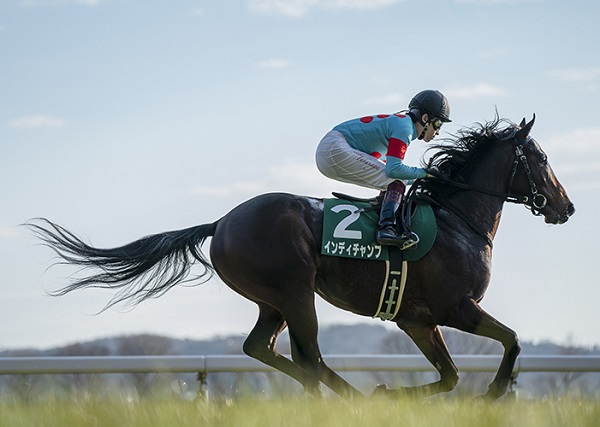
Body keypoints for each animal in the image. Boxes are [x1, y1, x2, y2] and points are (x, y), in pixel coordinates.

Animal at [29, 116, 576, 402]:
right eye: (542, 158)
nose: (567, 207)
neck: (458, 220)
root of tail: (221, 222)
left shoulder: (417, 319)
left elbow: (450, 375)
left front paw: (395, 394)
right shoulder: (453, 307)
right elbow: (511, 341)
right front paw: (494, 392)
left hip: (273, 299)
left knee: (264, 349)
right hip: (294, 290)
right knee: (306, 354)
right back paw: (352, 401)